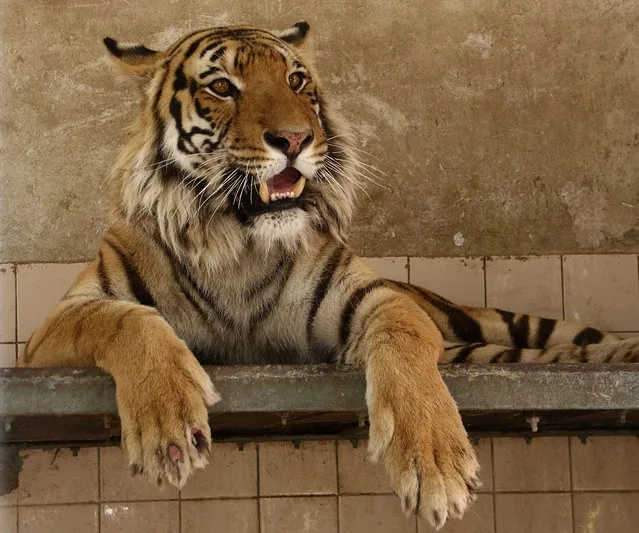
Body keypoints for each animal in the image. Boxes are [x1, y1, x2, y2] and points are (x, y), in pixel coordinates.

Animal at [18, 20, 639, 528]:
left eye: (296, 81)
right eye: (222, 87)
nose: (296, 139)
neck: (238, 244)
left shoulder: (372, 296)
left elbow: (406, 340)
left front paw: (435, 461)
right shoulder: (53, 331)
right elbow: (126, 321)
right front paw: (167, 426)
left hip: (479, 321)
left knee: (555, 338)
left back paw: (618, 352)